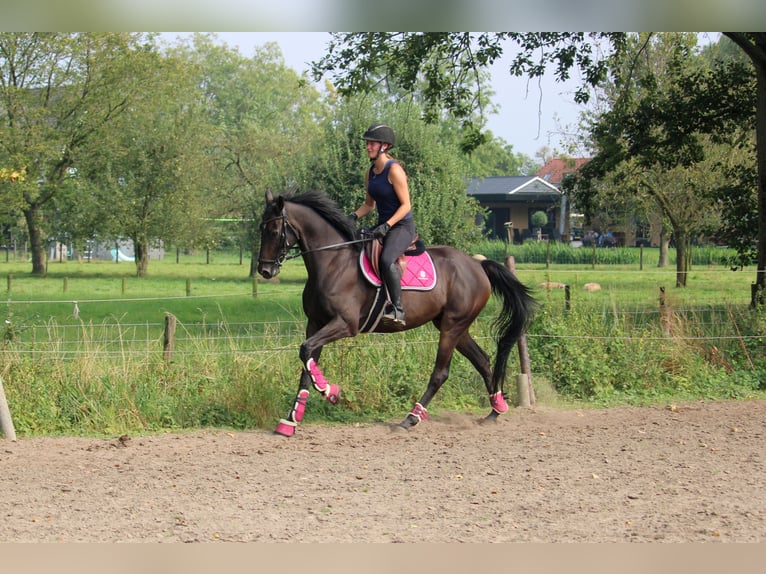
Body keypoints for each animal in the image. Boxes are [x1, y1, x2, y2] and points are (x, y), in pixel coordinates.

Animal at [256, 189, 536, 436]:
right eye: (261, 229)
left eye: (274, 231)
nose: (265, 271)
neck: (333, 262)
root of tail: (478, 265)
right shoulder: (315, 323)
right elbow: (306, 363)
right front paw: (291, 421)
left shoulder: (344, 324)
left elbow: (306, 353)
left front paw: (331, 391)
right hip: (455, 326)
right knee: (482, 360)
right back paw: (495, 410)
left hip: (452, 326)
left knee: (441, 373)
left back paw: (411, 418)